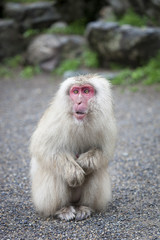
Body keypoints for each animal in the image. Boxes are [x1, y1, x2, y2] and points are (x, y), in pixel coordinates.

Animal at [29, 73, 117, 221]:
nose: (79, 102)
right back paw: (62, 209)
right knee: (55, 171)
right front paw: (73, 172)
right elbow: (44, 149)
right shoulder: (54, 121)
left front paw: (86, 163)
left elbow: (104, 152)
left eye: (86, 91)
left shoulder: (106, 123)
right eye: (75, 92)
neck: (80, 123)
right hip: (42, 199)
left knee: (96, 171)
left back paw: (84, 207)